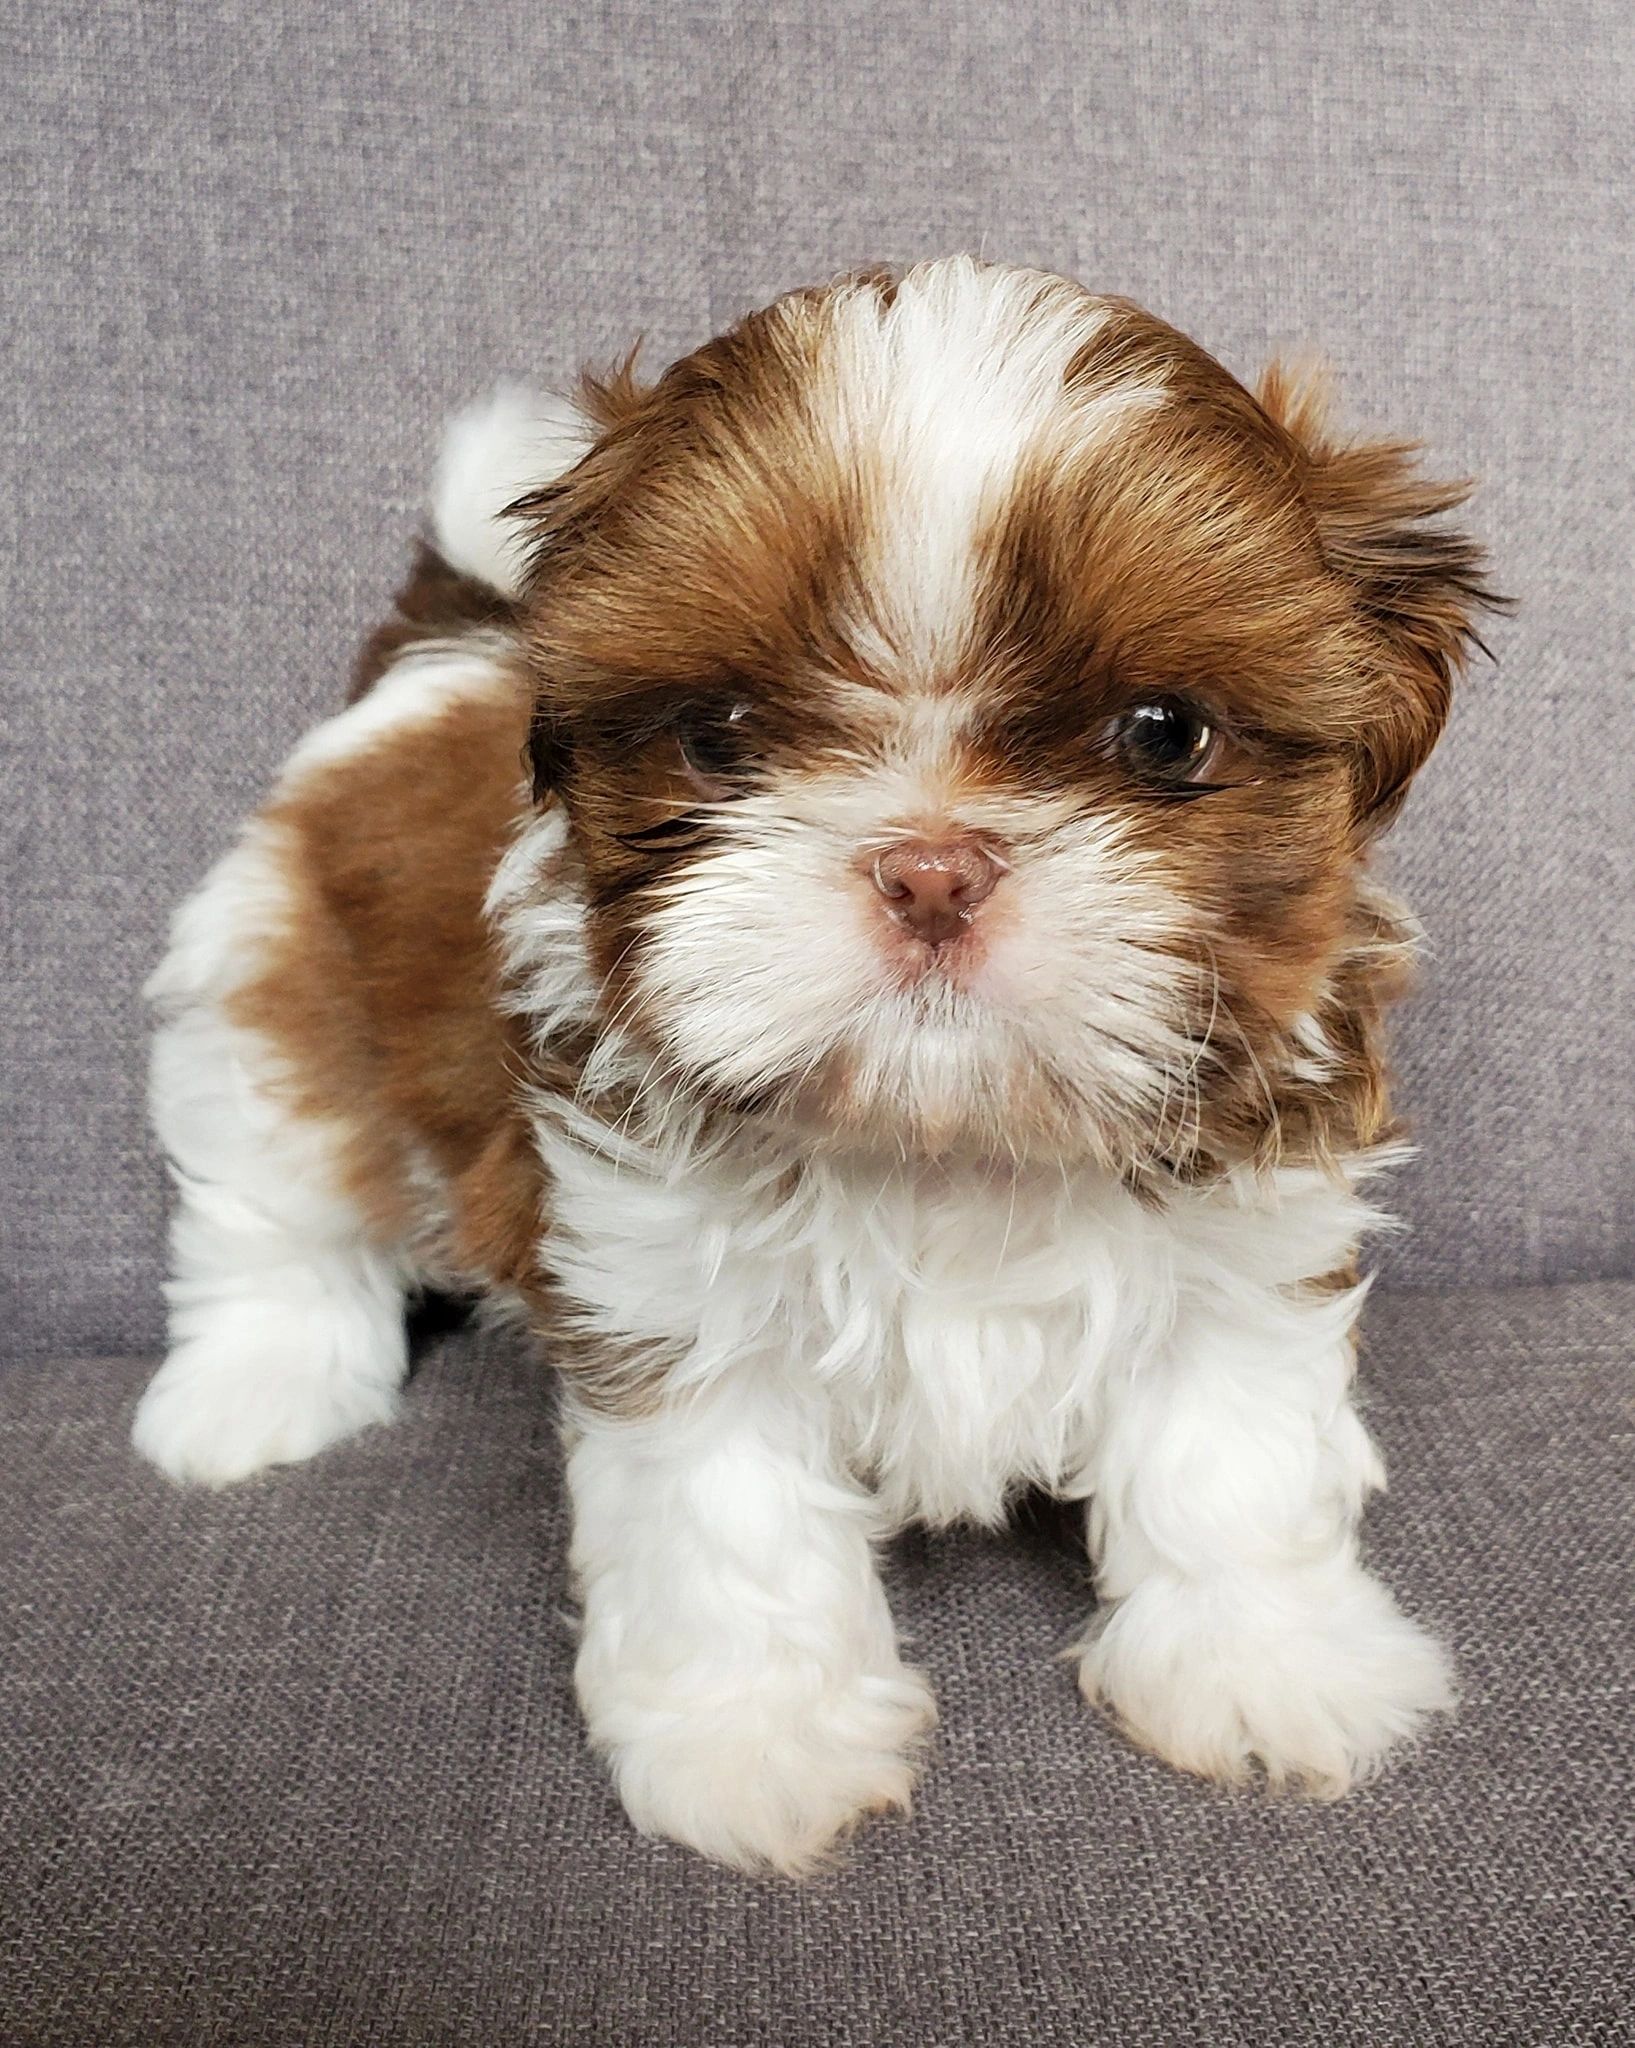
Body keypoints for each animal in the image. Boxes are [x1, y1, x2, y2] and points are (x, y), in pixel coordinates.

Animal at [137, 256, 1499, 1875]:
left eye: (1164, 733)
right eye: (719, 736)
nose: (931, 868)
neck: (947, 1143)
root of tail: (439, 658)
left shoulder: (1245, 1237)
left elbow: (1231, 1458)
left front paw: (1265, 1663)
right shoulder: (667, 1287)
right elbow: (734, 1525)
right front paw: (757, 1740)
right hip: (269, 991)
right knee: (269, 1202)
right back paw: (250, 1388)